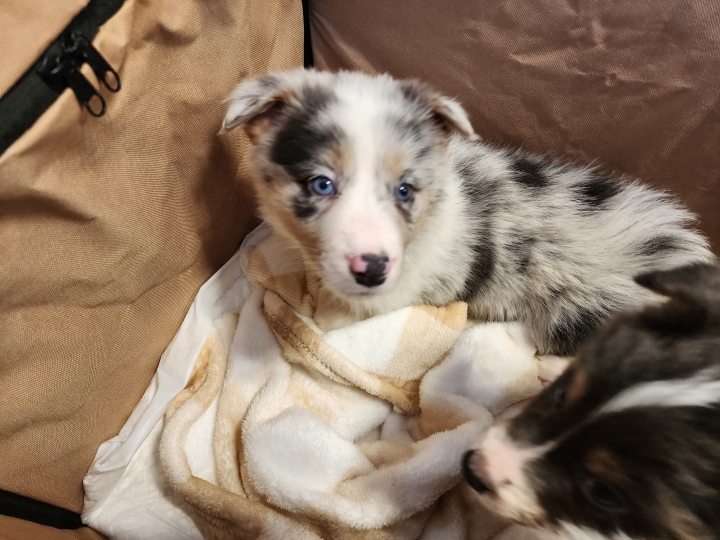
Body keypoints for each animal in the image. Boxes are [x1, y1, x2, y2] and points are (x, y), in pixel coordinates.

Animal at [220, 69, 713, 355]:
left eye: (405, 190)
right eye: (321, 184)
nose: (372, 269)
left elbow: (337, 319)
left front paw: (319, 319)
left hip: (583, 312)